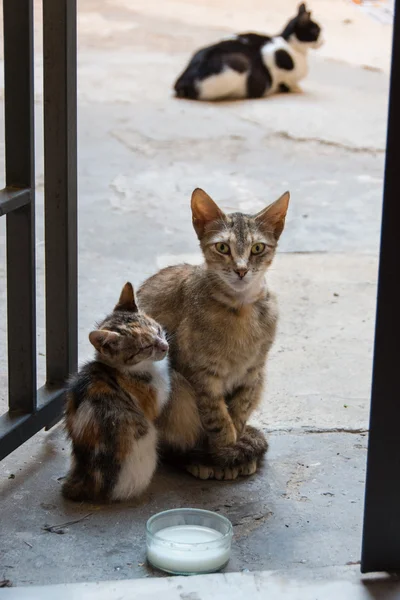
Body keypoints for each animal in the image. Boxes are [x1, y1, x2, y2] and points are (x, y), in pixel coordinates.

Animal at [139, 188, 290, 478]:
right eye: (222, 247)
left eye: (257, 248)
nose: (241, 270)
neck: (240, 309)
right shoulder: (200, 374)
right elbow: (215, 415)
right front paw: (222, 449)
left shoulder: (253, 371)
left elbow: (239, 408)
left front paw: (234, 442)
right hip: (175, 387)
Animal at [173, 2, 324, 101]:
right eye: (316, 31)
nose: (323, 41)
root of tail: (183, 82)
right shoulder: (273, 55)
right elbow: (289, 79)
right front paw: (296, 89)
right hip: (237, 64)